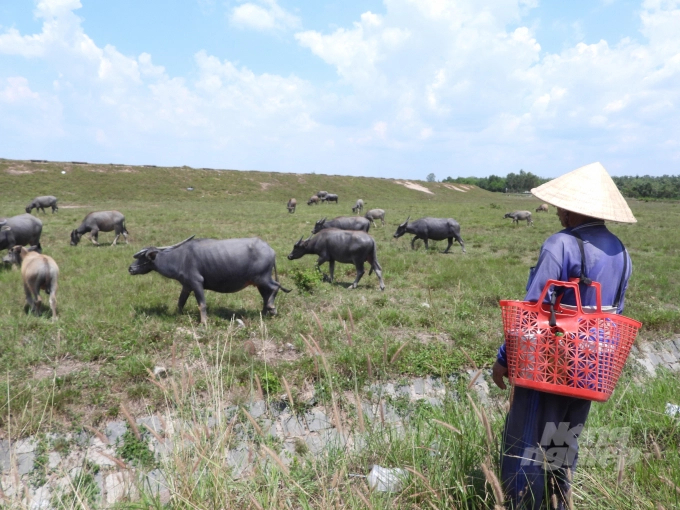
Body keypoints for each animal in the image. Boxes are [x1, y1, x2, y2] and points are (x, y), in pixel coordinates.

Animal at [128, 235, 290, 322]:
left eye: (143, 257)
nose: (130, 268)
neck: (180, 258)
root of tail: (271, 250)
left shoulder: (197, 283)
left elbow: (202, 304)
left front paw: (204, 322)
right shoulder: (187, 286)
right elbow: (180, 302)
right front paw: (178, 315)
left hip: (262, 278)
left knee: (275, 286)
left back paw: (271, 308)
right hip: (258, 282)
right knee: (266, 295)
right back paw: (265, 313)